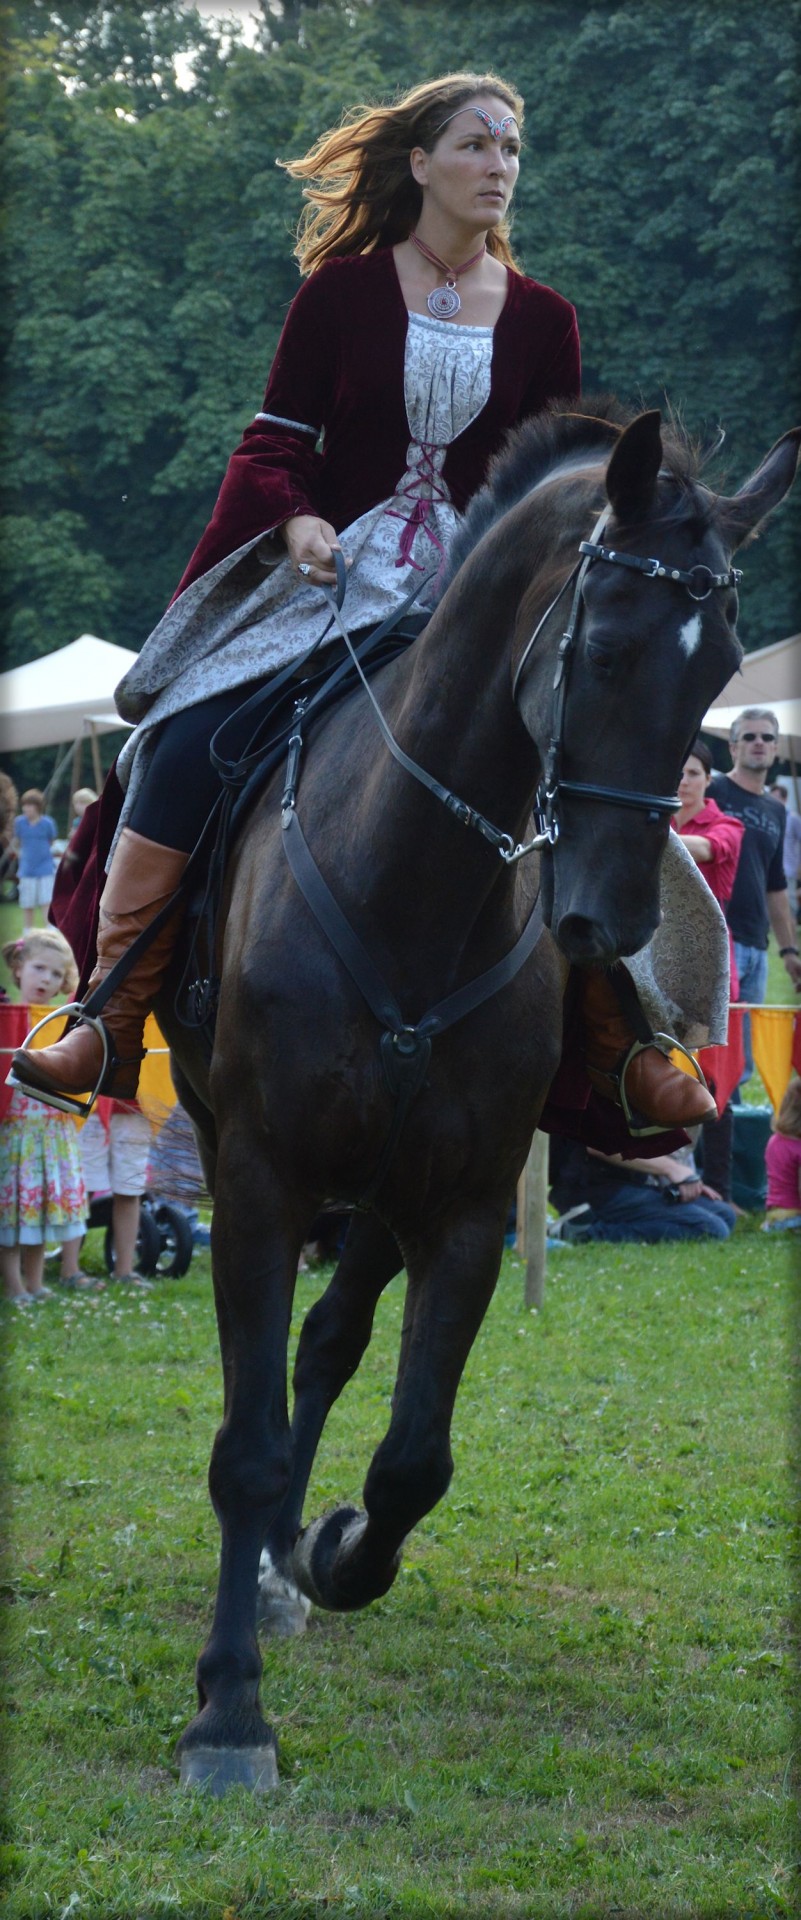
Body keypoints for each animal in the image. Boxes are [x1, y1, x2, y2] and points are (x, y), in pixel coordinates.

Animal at [159, 397, 795, 1789]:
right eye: (603, 648)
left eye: (724, 665)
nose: (606, 918)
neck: (412, 885)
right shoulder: (261, 1181)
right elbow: (246, 1446)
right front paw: (229, 1709)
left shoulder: (460, 1208)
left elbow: (412, 1462)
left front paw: (334, 1550)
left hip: (389, 1192)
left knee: (332, 1342)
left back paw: (292, 1561)